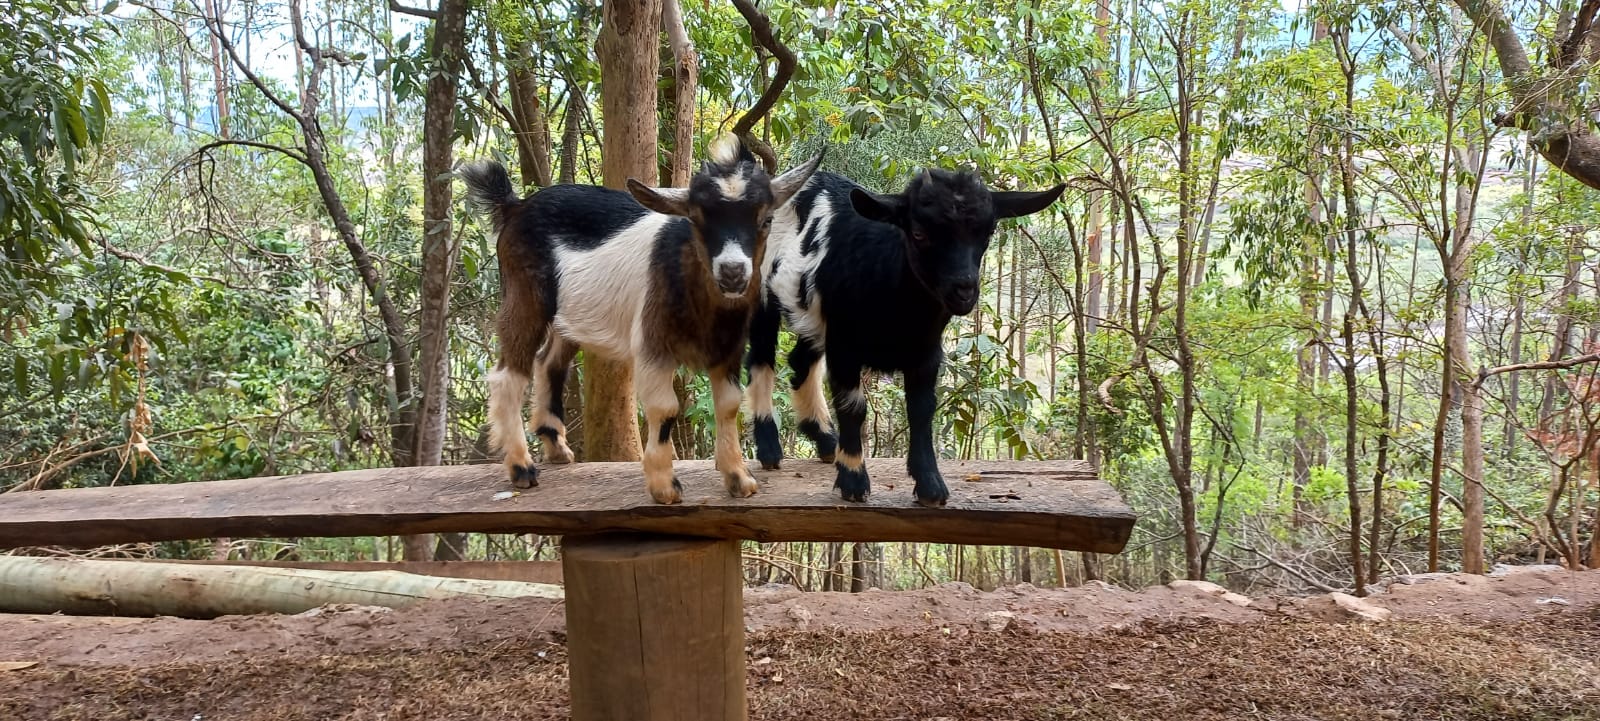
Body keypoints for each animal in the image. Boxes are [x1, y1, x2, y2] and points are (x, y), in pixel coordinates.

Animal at [457, 136, 819, 508]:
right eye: (698, 219)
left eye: (766, 219)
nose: (733, 272)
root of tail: (514, 206)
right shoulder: (653, 343)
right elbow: (665, 408)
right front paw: (664, 486)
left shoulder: (728, 348)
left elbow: (729, 405)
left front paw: (738, 478)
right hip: (525, 295)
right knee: (508, 374)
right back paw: (521, 468)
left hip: (569, 316)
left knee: (549, 363)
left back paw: (556, 447)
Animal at [745, 169, 1062, 508]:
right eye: (919, 234)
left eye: (988, 233)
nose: (963, 291)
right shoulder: (844, 347)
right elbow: (853, 407)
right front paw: (853, 479)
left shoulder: (926, 354)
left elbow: (921, 410)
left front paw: (930, 485)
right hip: (761, 294)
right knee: (761, 360)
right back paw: (769, 448)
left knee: (799, 362)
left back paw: (827, 441)